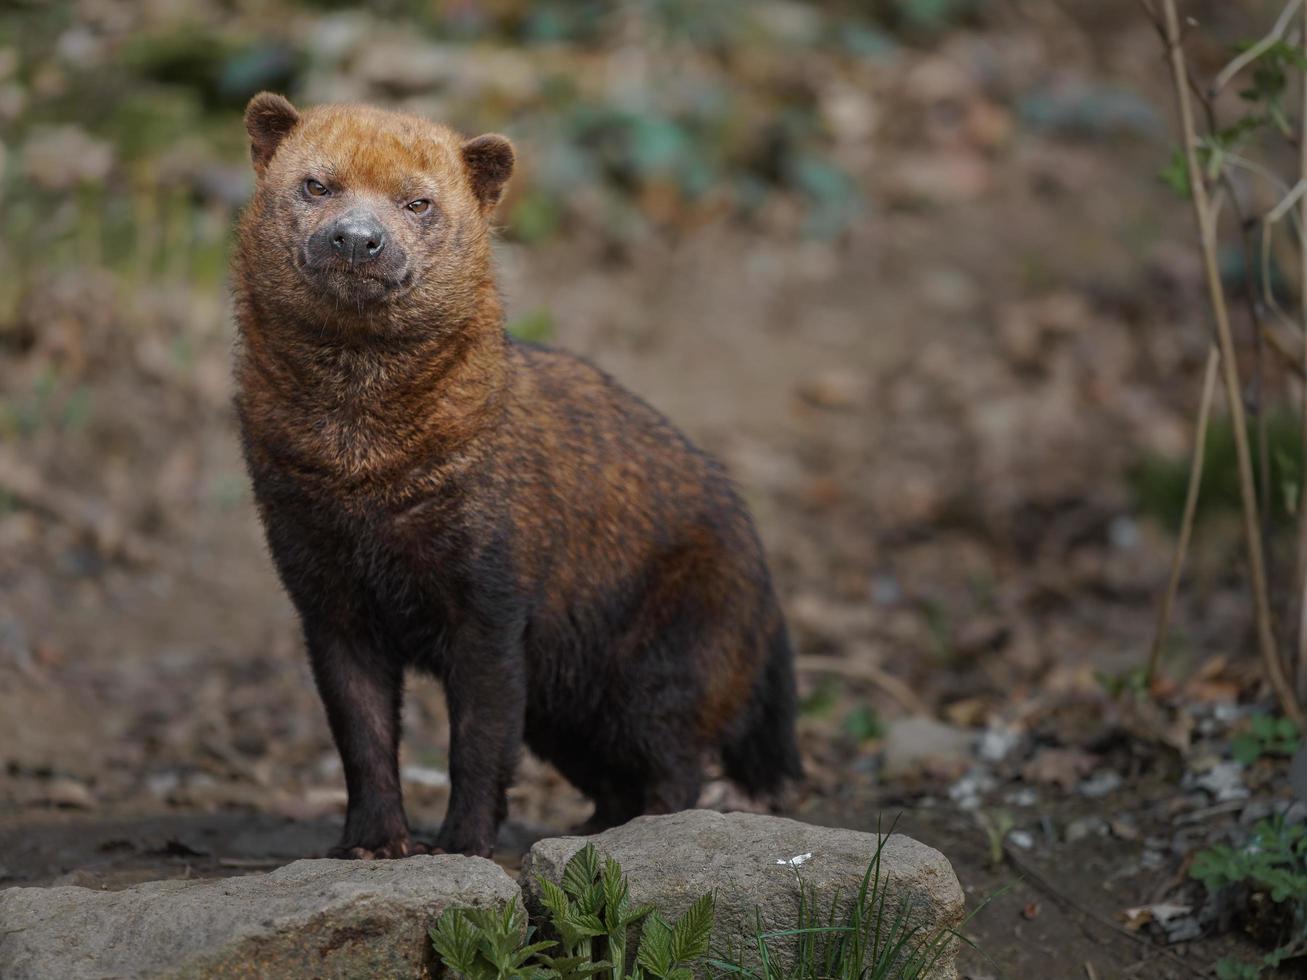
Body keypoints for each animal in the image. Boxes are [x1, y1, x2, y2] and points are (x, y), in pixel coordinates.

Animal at [236, 94, 805, 857]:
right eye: (315, 184)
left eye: (418, 201)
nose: (357, 239)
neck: (365, 481)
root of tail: (770, 600)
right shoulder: (324, 591)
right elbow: (361, 733)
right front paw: (372, 842)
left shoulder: (494, 594)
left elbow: (480, 737)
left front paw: (462, 841)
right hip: (567, 710)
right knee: (614, 774)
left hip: (670, 656)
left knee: (677, 762)